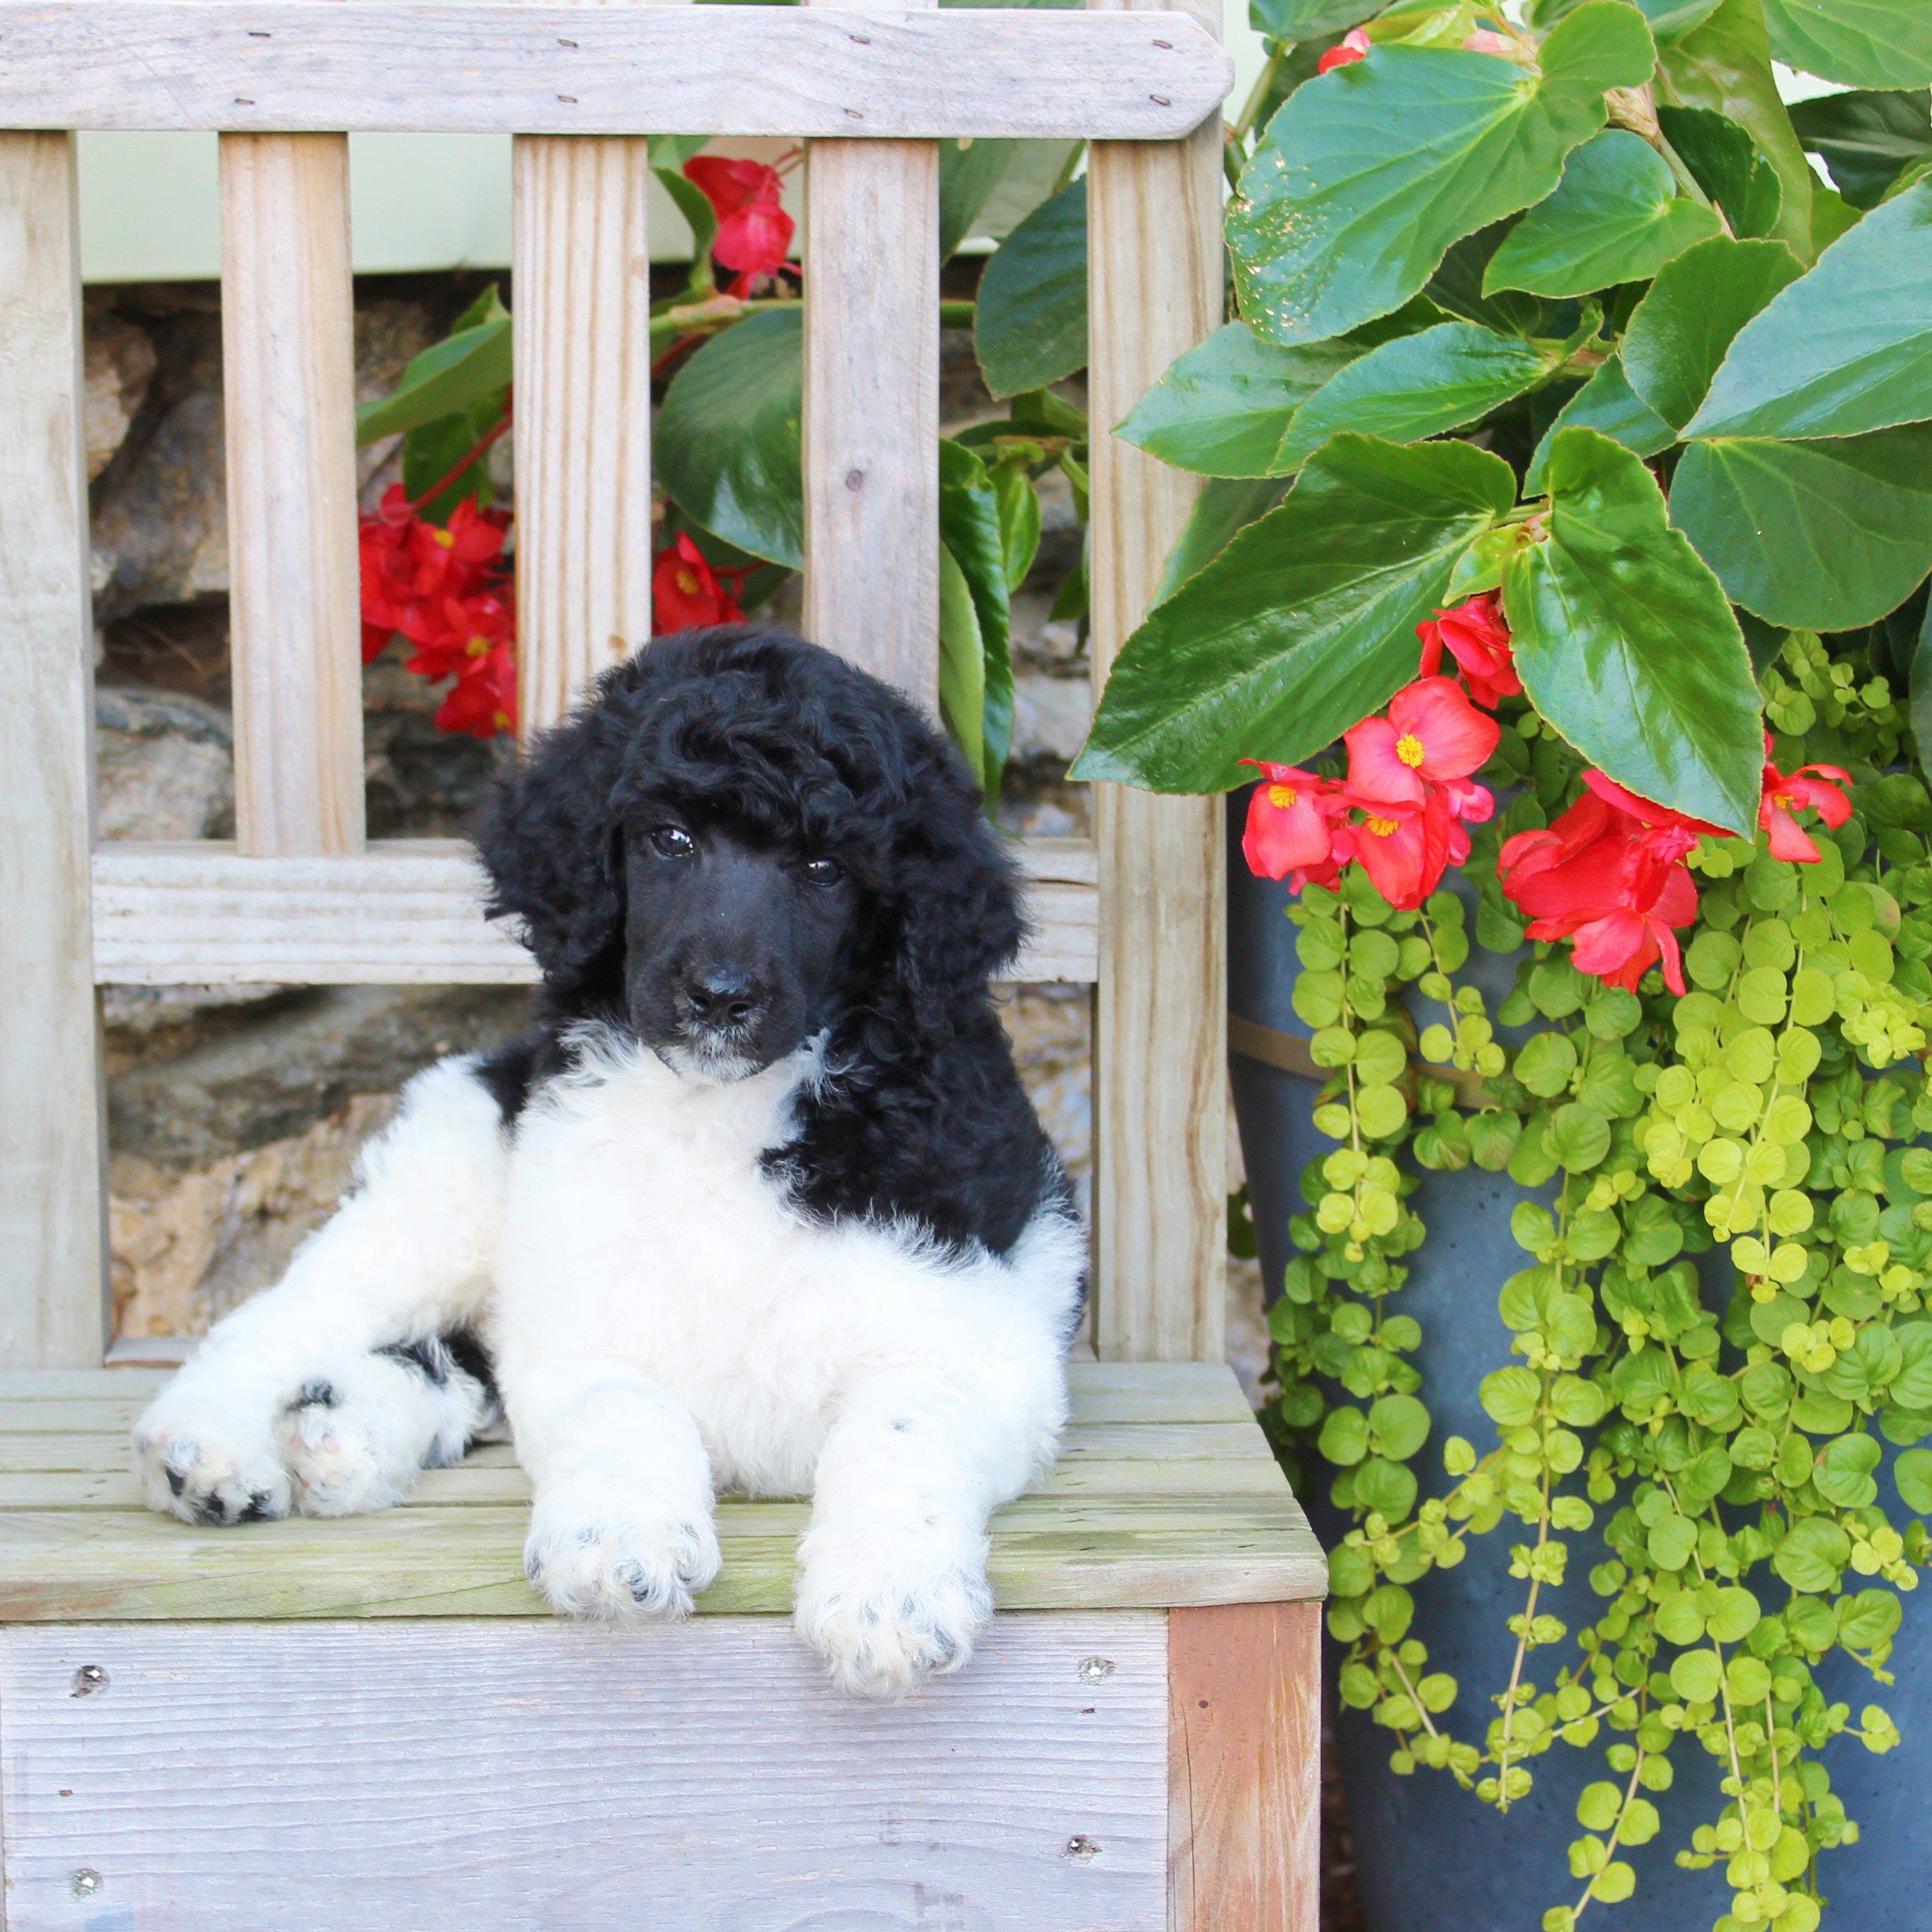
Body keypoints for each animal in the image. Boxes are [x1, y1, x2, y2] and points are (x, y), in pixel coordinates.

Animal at [136, 622, 1089, 1692]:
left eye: (823, 866)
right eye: (668, 840)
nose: (718, 995)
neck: (725, 1111)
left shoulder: (980, 1338)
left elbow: (902, 1420)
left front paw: (889, 1593)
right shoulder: (575, 1322)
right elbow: (620, 1405)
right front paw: (616, 1538)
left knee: (450, 1371)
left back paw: (341, 1435)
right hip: (438, 1185)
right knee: (284, 1320)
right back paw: (211, 1450)